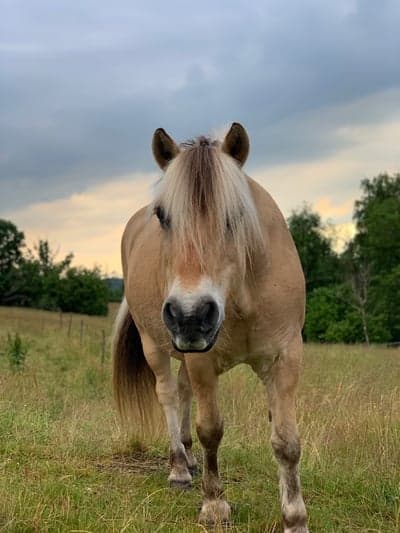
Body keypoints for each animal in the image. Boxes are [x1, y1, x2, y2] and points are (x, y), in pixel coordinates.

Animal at [112, 122, 310, 528]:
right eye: (163, 215)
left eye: (236, 213)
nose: (190, 315)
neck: (243, 294)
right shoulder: (202, 359)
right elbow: (212, 431)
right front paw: (214, 504)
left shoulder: (285, 358)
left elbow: (286, 441)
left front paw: (295, 519)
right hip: (156, 346)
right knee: (169, 395)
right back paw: (179, 468)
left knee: (183, 392)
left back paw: (188, 459)